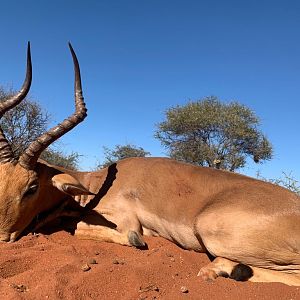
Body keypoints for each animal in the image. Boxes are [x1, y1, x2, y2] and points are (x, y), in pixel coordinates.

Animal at [0, 44, 298, 286]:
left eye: (32, 187)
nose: (3, 238)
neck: (96, 185)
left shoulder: (126, 220)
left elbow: (87, 230)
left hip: (211, 231)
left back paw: (221, 270)